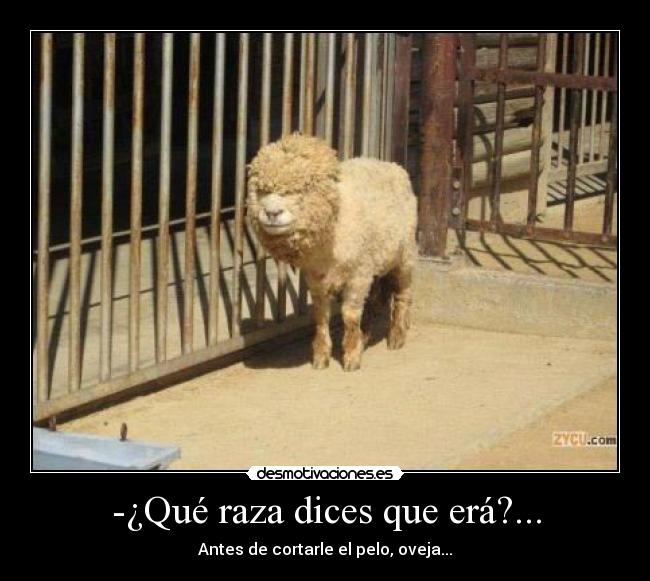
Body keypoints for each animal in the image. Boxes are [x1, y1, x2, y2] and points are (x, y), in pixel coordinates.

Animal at [247, 133, 417, 371]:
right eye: (262, 191)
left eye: (298, 190)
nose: (272, 213)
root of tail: (391, 164)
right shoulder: (316, 279)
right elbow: (321, 316)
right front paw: (321, 356)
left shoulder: (358, 275)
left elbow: (350, 316)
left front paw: (351, 356)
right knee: (374, 300)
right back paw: (366, 334)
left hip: (404, 255)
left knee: (403, 293)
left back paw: (397, 335)